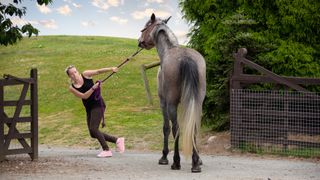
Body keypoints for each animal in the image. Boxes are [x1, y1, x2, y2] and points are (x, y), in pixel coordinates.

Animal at [139, 13, 206, 172]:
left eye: (145, 26)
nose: (139, 41)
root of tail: (186, 58)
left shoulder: (163, 103)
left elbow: (166, 128)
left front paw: (164, 157)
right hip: (197, 103)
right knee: (194, 127)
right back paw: (196, 162)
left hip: (171, 104)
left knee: (176, 129)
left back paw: (176, 162)